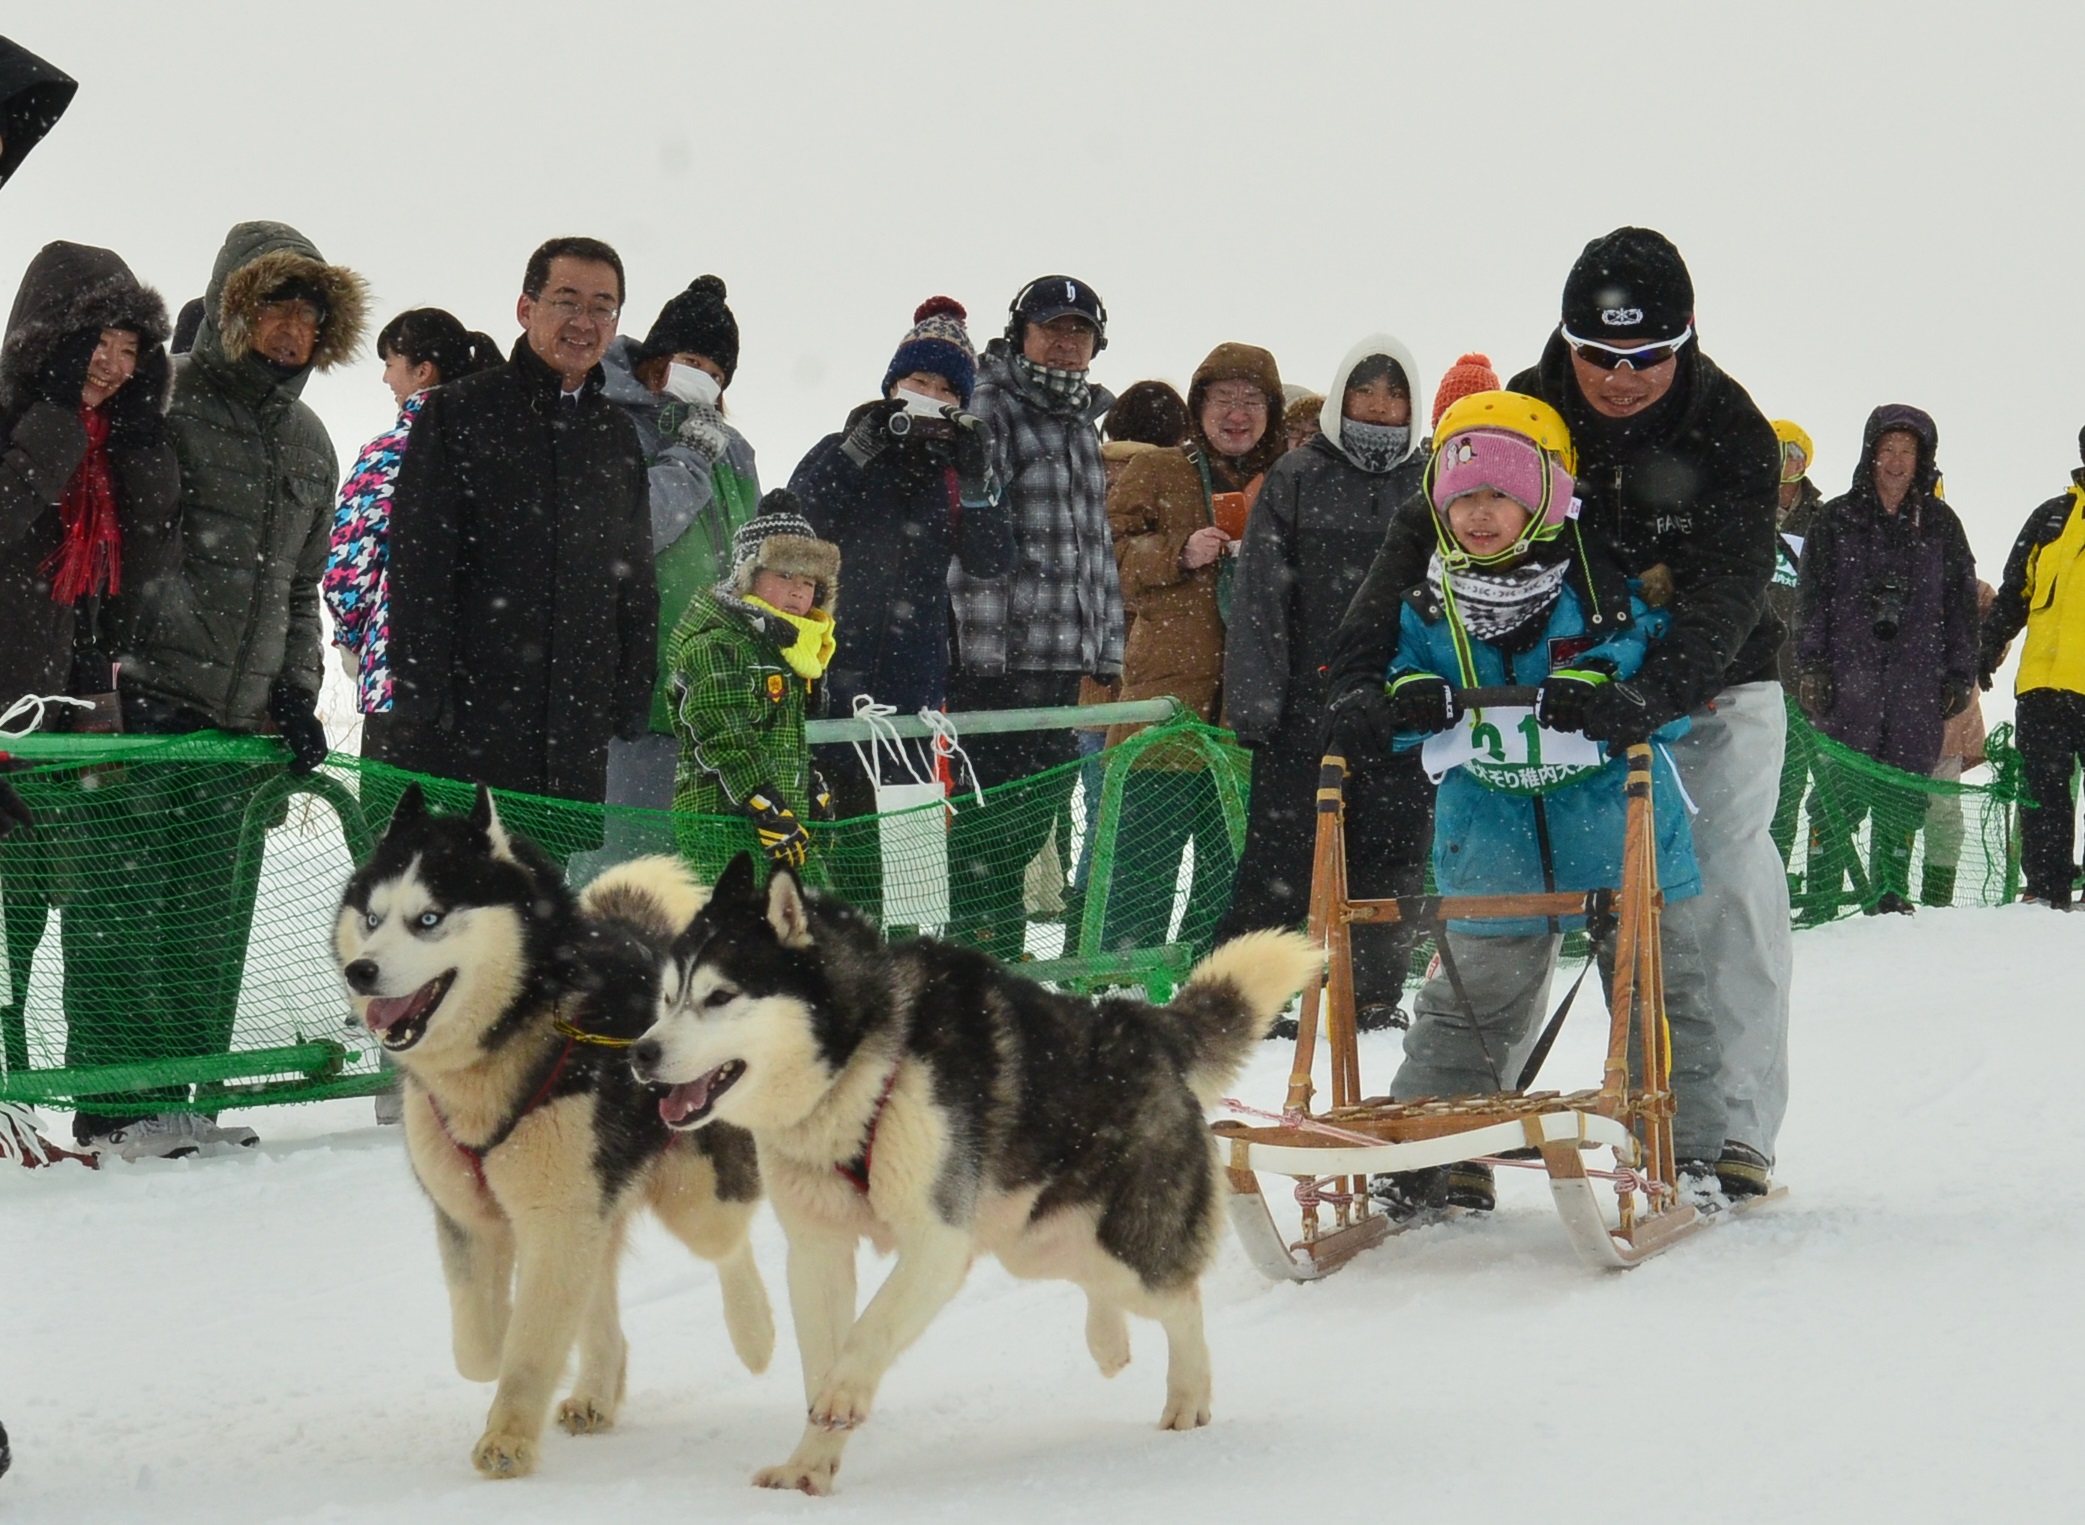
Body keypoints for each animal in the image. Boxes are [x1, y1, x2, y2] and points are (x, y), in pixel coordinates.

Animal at [335, 788, 775, 1477]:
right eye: (373, 918)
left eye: (429, 919)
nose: (362, 971)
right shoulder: (469, 1214)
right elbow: (481, 1345)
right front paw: (507, 1352)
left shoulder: (557, 1215)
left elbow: (530, 1343)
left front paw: (508, 1437)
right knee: (597, 1297)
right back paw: (597, 1388)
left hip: (692, 1197)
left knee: (728, 1244)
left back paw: (754, 1332)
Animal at [633, 851, 1317, 1493]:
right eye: (666, 998)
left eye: (720, 996)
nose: (641, 1052)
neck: (858, 1072)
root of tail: (1142, 1022)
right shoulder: (817, 1251)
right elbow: (821, 1356)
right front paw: (808, 1466)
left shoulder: (938, 1241)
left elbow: (868, 1333)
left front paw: (843, 1395)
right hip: (1032, 1242)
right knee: (1099, 1285)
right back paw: (1109, 1344)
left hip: (1125, 1245)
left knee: (1179, 1299)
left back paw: (1188, 1397)